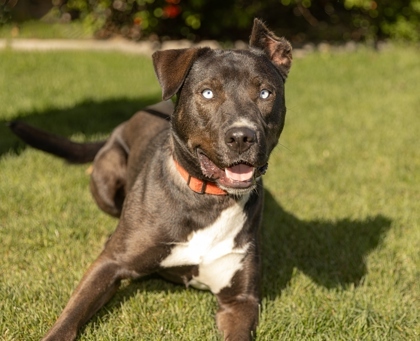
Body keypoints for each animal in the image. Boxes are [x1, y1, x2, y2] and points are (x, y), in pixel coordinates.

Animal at [9, 18, 292, 340]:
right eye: (207, 93)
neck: (206, 200)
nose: (242, 136)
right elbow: (71, 315)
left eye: (265, 93)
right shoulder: (110, 264)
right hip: (105, 178)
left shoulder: (240, 300)